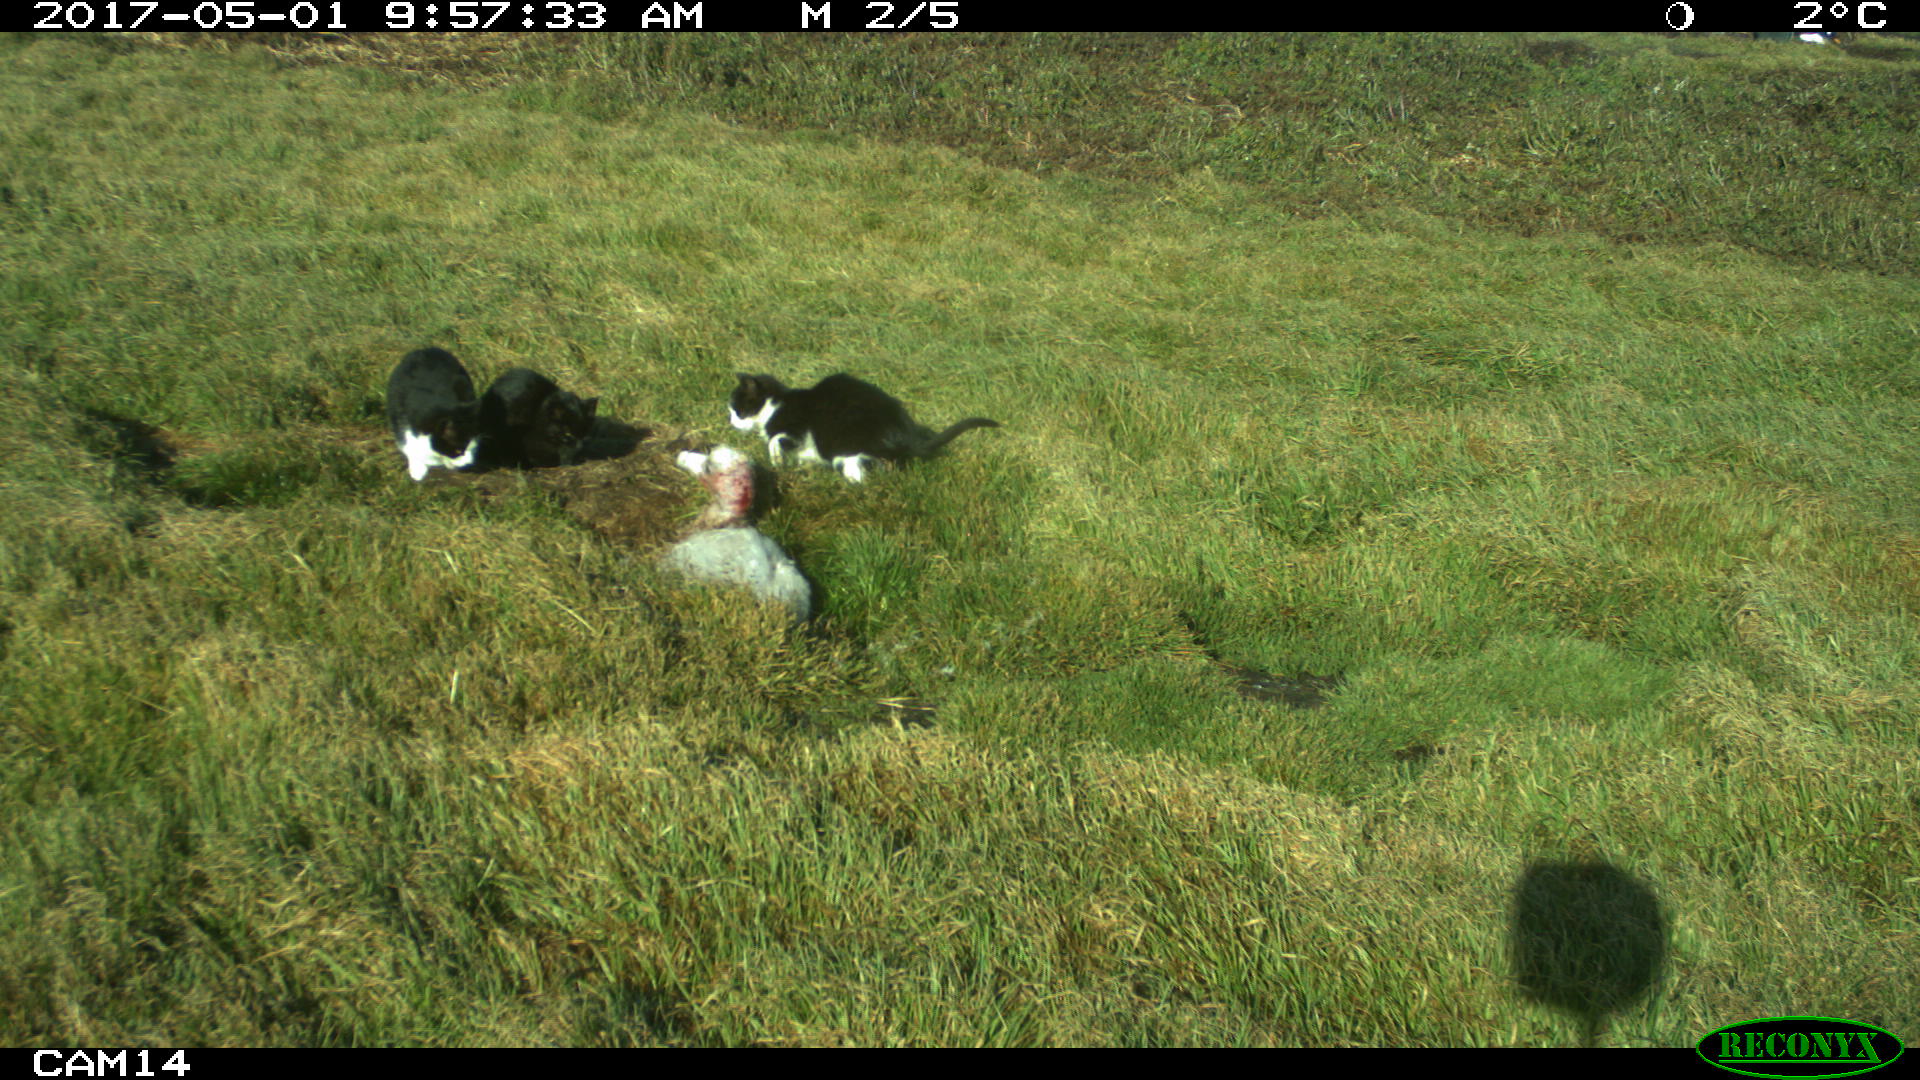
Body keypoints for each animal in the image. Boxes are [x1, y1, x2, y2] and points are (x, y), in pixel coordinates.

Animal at [384, 345, 483, 480]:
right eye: (458, 451)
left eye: (474, 448)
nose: (469, 463)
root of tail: (425, 349)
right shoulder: (401, 411)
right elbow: (405, 440)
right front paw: (417, 468)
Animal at [725, 374, 1006, 484]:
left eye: (736, 409)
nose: (730, 422)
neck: (775, 404)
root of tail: (905, 433)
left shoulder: (794, 427)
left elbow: (775, 440)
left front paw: (777, 462)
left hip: (845, 445)